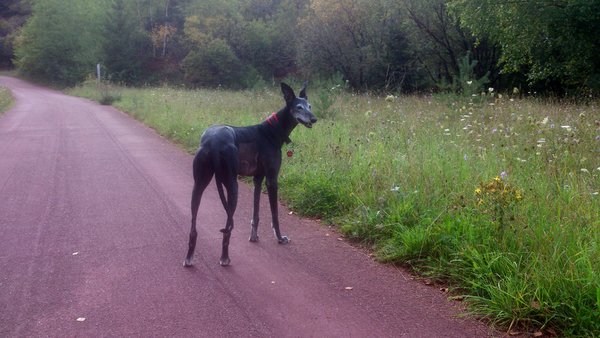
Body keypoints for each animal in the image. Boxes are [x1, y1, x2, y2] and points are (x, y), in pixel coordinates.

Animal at [184, 82, 318, 266]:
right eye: (299, 107)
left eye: (310, 106)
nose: (314, 119)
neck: (272, 130)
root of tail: (214, 143)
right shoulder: (271, 180)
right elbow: (274, 214)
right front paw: (280, 238)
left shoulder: (258, 179)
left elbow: (256, 212)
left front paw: (253, 236)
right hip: (232, 186)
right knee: (227, 227)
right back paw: (224, 257)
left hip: (198, 185)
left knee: (193, 226)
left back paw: (189, 257)